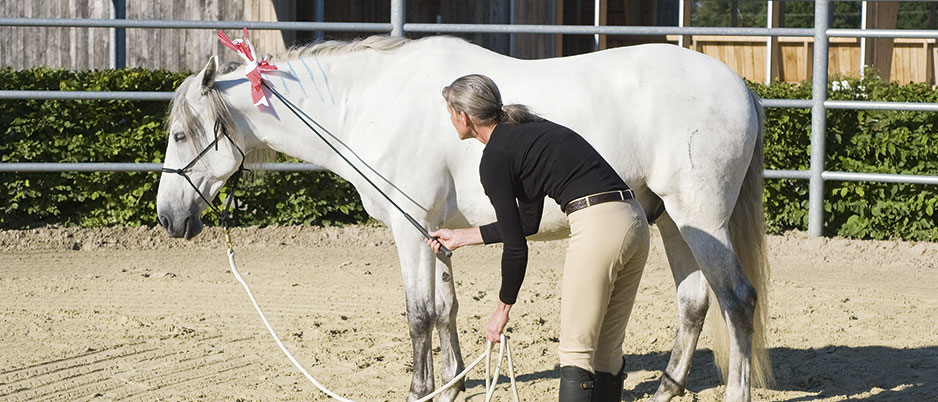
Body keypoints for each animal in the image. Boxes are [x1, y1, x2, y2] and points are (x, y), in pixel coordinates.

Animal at [154, 35, 768, 402]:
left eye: (181, 133)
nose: (168, 218)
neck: (372, 105)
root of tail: (741, 88)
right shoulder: (434, 230)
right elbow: (446, 309)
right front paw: (451, 384)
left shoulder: (408, 229)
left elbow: (418, 314)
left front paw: (419, 389)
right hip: (670, 221)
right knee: (695, 301)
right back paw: (665, 389)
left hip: (699, 216)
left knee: (737, 299)